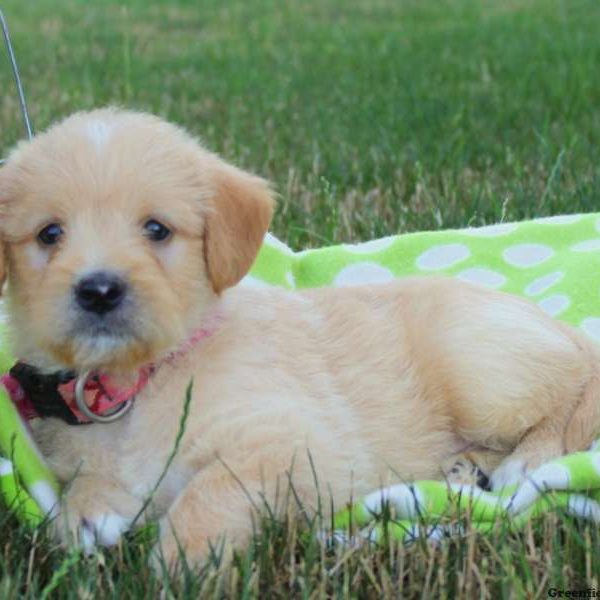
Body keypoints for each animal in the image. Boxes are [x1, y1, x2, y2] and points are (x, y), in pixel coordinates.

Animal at [1, 109, 600, 568]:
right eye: (49, 234)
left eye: (156, 229)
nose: (99, 290)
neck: (137, 382)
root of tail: (565, 330)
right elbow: (90, 484)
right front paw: (84, 513)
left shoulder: (300, 447)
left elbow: (210, 491)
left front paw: (183, 564)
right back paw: (466, 467)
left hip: (480, 370)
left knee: (569, 394)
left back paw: (526, 462)